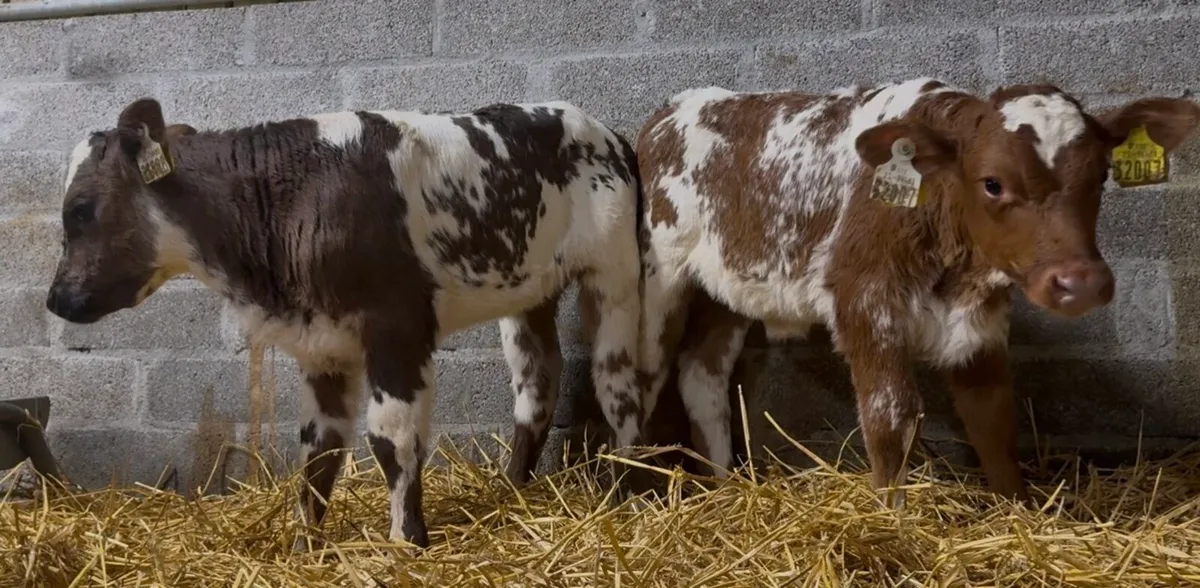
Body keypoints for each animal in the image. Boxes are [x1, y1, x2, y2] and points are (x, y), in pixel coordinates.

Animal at [43, 97, 652, 548]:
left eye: (81, 209)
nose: (55, 299)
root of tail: (604, 132)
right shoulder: (322, 346)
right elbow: (320, 448)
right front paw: (302, 547)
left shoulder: (397, 325)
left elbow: (391, 438)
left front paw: (407, 542)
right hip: (527, 292)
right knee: (536, 382)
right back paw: (513, 489)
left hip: (617, 276)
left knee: (618, 383)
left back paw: (631, 492)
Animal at [633, 77, 1200, 508]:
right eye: (992, 183)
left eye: (1102, 174)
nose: (1078, 283)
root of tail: (676, 107)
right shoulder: (864, 301)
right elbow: (891, 417)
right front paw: (891, 518)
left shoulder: (981, 321)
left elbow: (994, 418)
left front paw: (1018, 512)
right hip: (660, 278)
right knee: (648, 370)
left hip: (723, 290)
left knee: (702, 374)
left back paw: (726, 485)